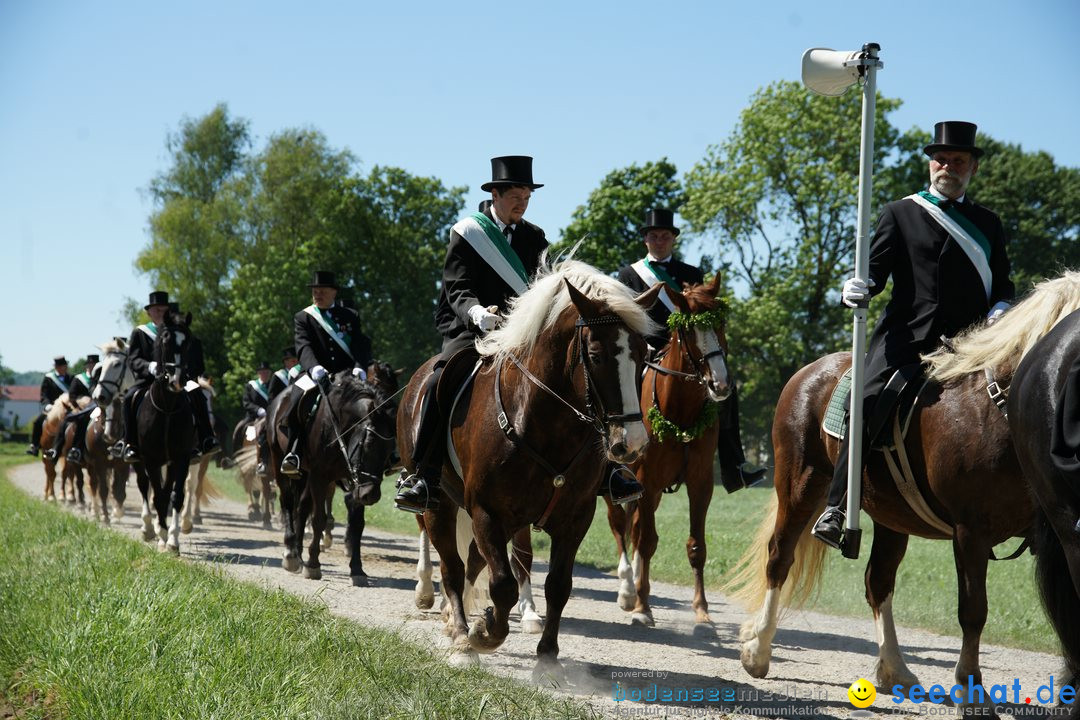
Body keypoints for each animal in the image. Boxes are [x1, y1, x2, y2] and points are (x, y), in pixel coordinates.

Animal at [397, 259, 660, 677]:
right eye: (597, 354)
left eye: (641, 353)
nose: (631, 443)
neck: (544, 422)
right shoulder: (487, 512)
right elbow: (502, 584)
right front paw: (483, 634)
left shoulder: (575, 518)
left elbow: (558, 585)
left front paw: (547, 656)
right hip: (441, 505)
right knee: (452, 568)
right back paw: (460, 635)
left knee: (473, 563)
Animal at [604, 273, 730, 626]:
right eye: (688, 330)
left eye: (721, 323)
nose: (720, 384)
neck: (681, 414)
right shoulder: (647, 480)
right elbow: (646, 541)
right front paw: (642, 607)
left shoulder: (700, 483)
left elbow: (696, 545)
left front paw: (701, 609)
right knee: (620, 526)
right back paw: (627, 591)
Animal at [725, 272, 1080, 716]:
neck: (999, 405)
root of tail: (809, 371)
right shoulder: (971, 534)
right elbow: (973, 612)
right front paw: (972, 692)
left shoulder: (1056, 534)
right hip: (800, 485)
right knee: (779, 558)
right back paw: (758, 652)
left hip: (891, 517)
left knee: (877, 581)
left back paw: (894, 669)